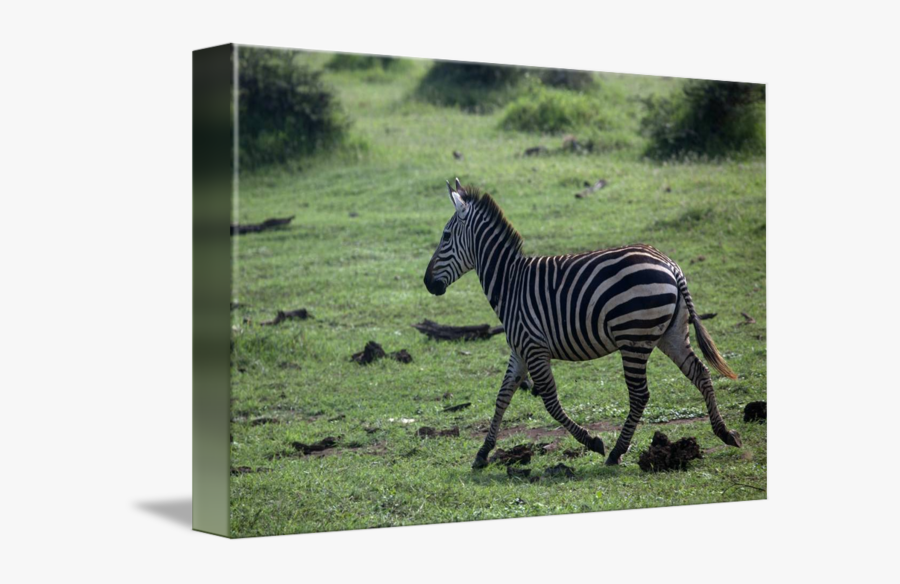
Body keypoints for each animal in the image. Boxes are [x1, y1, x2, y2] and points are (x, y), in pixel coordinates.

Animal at [423, 179, 742, 468]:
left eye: (446, 236)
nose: (427, 283)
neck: (509, 282)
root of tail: (670, 265)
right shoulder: (520, 349)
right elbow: (502, 396)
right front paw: (483, 452)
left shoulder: (534, 347)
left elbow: (550, 401)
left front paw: (592, 441)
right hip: (671, 333)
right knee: (700, 373)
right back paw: (725, 433)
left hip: (634, 338)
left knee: (640, 394)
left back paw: (616, 452)